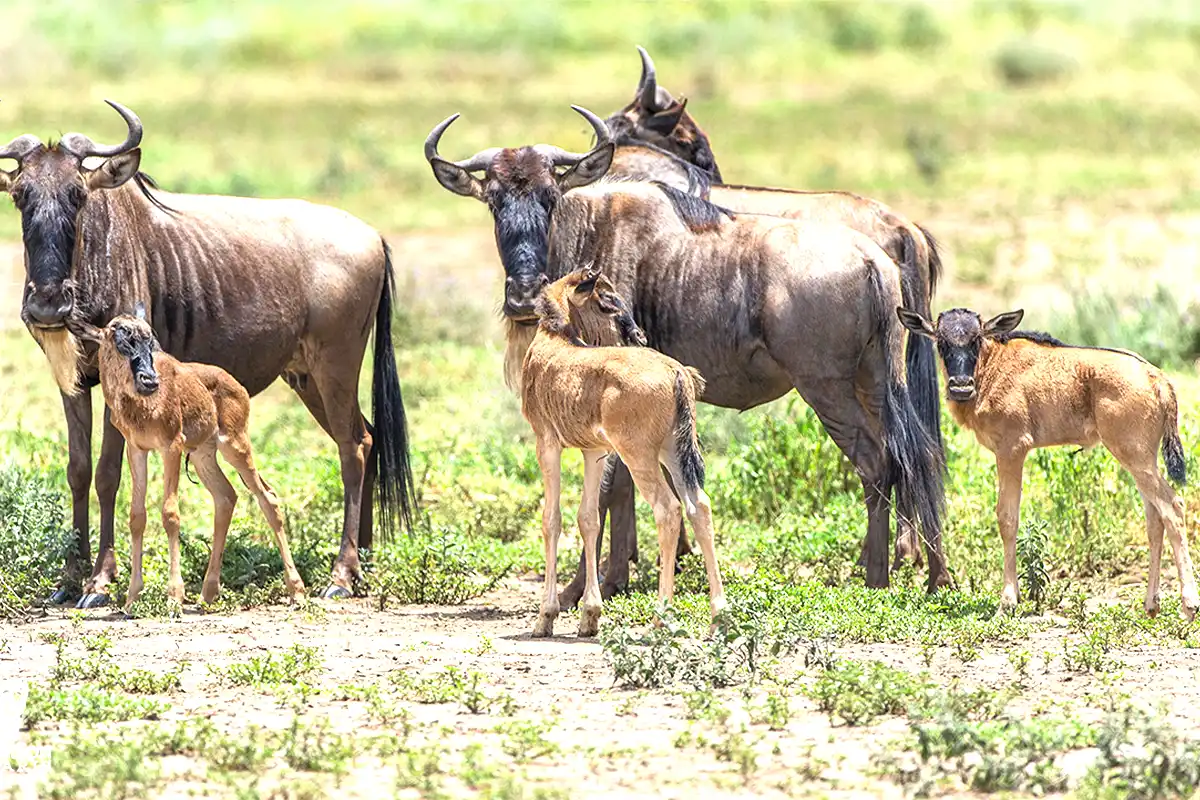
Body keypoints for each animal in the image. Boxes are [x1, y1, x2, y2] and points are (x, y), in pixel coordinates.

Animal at [70, 307, 305, 612]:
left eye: (151, 342)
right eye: (121, 338)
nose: (150, 381)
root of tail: (236, 385)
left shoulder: (172, 446)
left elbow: (170, 514)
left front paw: (174, 597)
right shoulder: (137, 449)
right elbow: (137, 516)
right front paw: (132, 597)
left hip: (234, 446)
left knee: (268, 498)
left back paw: (297, 592)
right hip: (203, 456)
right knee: (226, 496)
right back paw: (208, 593)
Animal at [425, 106, 946, 594]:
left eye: (550, 197)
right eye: (493, 201)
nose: (523, 296)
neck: (593, 229)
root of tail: (875, 257)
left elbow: (609, 488)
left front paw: (583, 588)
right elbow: (626, 487)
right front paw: (620, 577)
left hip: (827, 389)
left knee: (874, 461)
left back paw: (875, 577)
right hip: (876, 382)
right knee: (911, 457)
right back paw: (921, 574)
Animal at [522, 268, 724, 637]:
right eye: (607, 301)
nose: (638, 335)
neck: (554, 338)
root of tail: (676, 372)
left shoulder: (547, 443)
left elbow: (551, 519)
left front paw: (546, 616)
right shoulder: (594, 452)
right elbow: (589, 518)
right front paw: (589, 616)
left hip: (639, 455)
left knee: (668, 509)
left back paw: (661, 617)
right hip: (672, 451)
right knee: (698, 506)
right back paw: (719, 616)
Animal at [898, 307, 1199, 620]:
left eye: (976, 340)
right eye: (941, 342)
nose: (960, 388)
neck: (991, 367)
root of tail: (1156, 376)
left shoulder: (1012, 449)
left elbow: (1007, 518)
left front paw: (1007, 602)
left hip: (1135, 456)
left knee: (1174, 508)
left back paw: (1189, 603)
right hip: (1140, 460)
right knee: (1155, 519)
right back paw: (1151, 604)